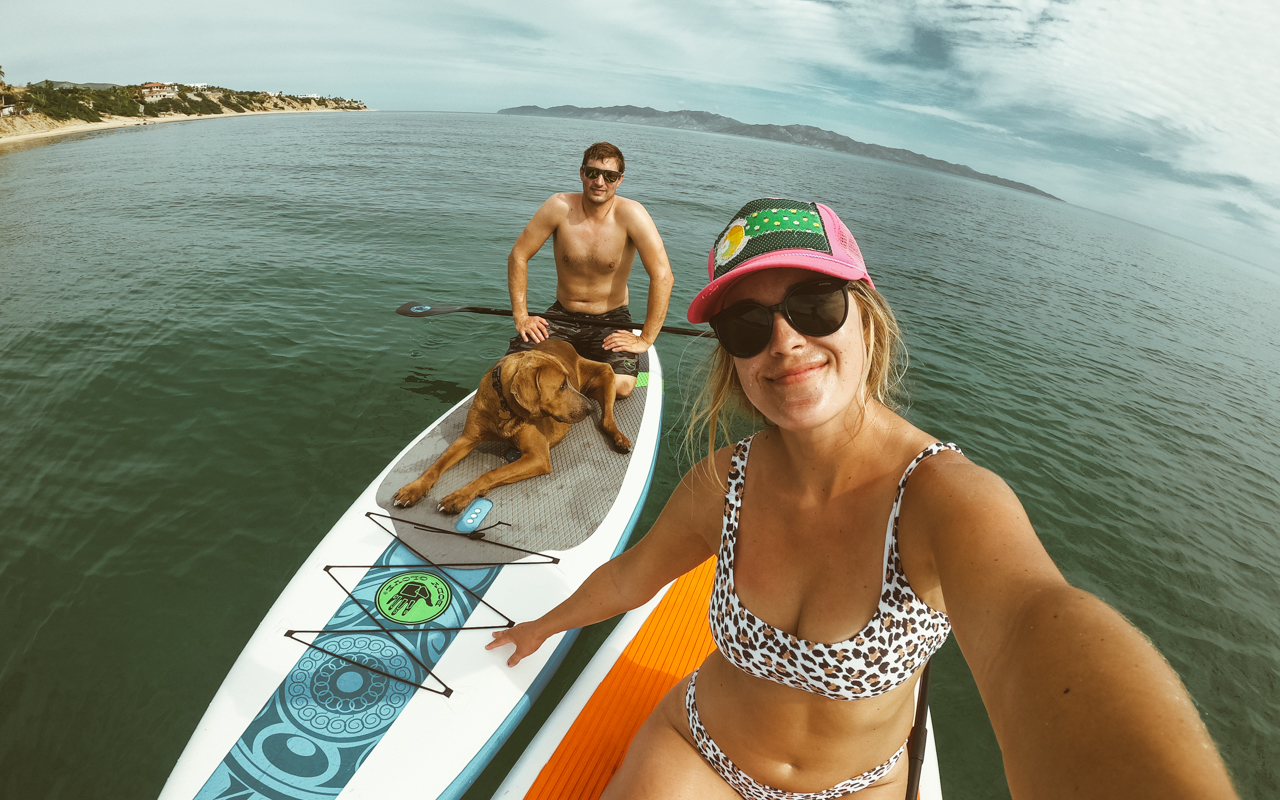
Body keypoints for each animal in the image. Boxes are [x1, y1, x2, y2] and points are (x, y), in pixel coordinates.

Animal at [389, 337, 629, 512]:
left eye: (568, 381)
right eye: (561, 385)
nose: (588, 408)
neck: (505, 407)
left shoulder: (538, 457)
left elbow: (490, 474)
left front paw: (460, 496)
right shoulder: (466, 439)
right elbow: (436, 466)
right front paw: (414, 488)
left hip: (607, 373)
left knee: (607, 419)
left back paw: (620, 439)